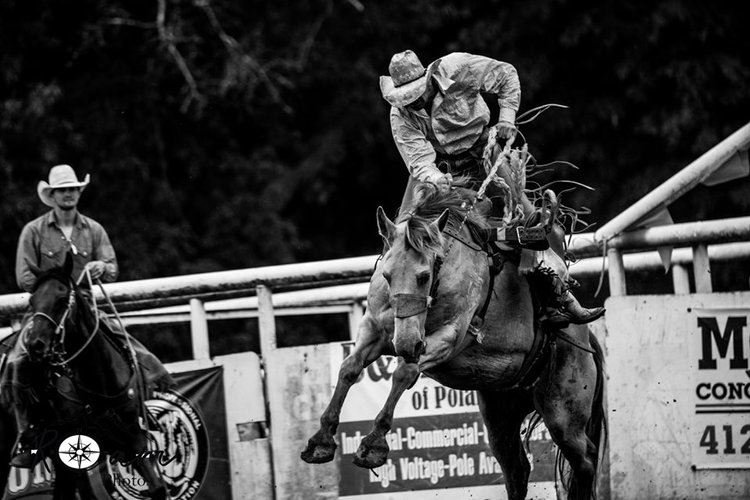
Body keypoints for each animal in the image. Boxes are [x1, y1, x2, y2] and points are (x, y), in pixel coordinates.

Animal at [0, 256, 167, 498]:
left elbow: (157, 487)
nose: (35, 345)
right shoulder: (67, 453)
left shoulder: (133, 440)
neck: (99, 385)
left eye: (62, 299)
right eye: (32, 301)